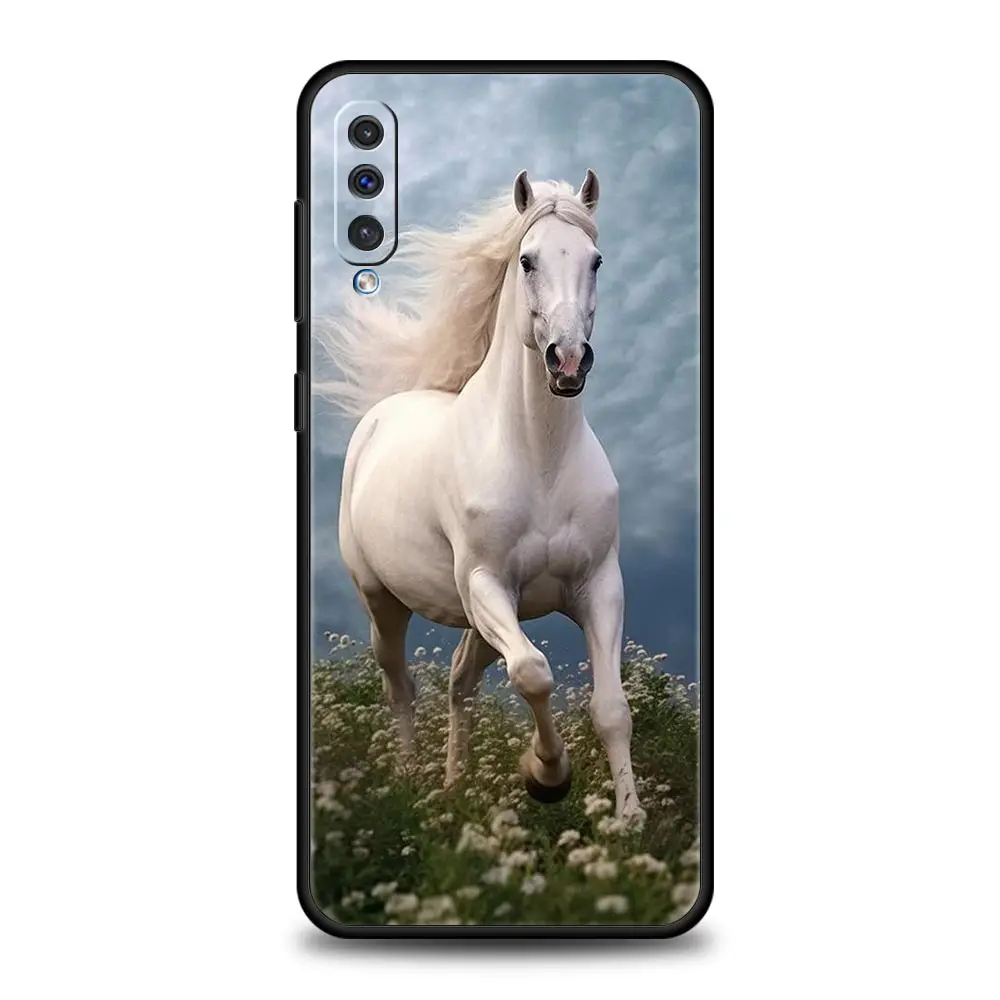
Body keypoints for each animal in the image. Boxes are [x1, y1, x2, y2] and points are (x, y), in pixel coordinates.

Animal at [316, 169, 643, 824]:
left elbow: (612, 708)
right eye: (527, 260)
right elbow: (534, 672)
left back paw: (454, 786)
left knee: (459, 684)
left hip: (480, 616)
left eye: (595, 260)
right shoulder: (487, 581)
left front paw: (629, 818)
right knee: (401, 686)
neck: (539, 459)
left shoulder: (598, 586)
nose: (568, 360)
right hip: (384, 602)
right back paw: (411, 782)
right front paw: (547, 776)